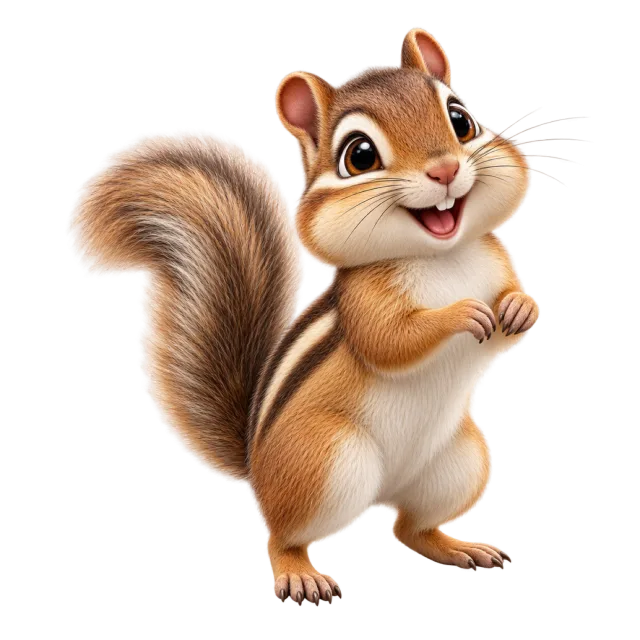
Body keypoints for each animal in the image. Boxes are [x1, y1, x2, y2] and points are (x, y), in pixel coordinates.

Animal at [68, 27, 539, 605]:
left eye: (462, 120)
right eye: (360, 156)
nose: (446, 169)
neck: (442, 258)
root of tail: (257, 466)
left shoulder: (498, 262)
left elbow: (520, 310)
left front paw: (518, 306)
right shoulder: (365, 304)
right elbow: (390, 342)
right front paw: (460, 315)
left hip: (463, 460)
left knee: (410, 528)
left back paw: (460, 547)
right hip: (325, 463)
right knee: (282, 536)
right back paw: (300, 573)